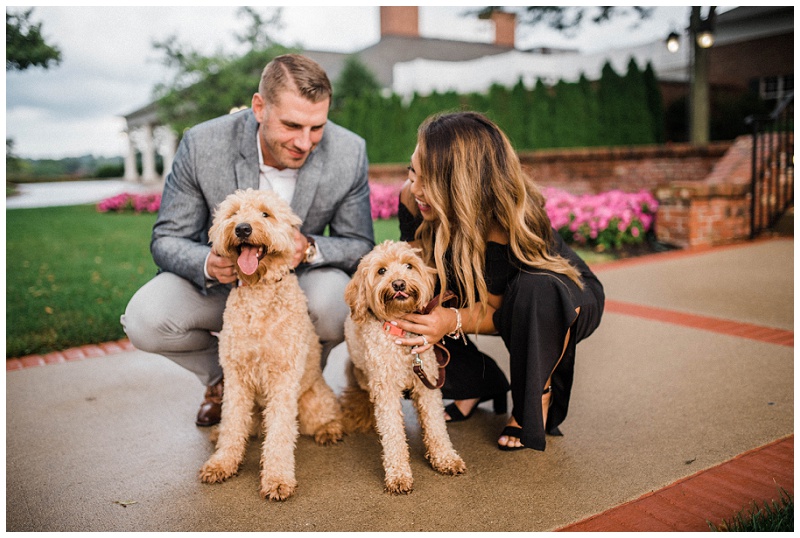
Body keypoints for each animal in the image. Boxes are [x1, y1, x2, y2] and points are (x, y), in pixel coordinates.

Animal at [200, 187, 344, 498]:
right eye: (233, 213)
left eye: (266, 214)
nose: (242, 228)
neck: (260, 289)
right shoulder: (236, 378)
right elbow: (232, 423)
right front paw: (222, 463)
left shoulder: (283, 378)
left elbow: (279, 432)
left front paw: (277, 478)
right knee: (244, 426)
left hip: (311, 401)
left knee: (326, 414)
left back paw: (330, 429)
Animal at [340, 241, 466, 492]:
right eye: (381, 271)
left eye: (409, 265)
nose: (399, 283)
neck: (401, 329)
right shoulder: (386, 390)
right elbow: (392, 433)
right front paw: (398, 474)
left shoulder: (428, 383)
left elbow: (436, 425)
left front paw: (446, 458)